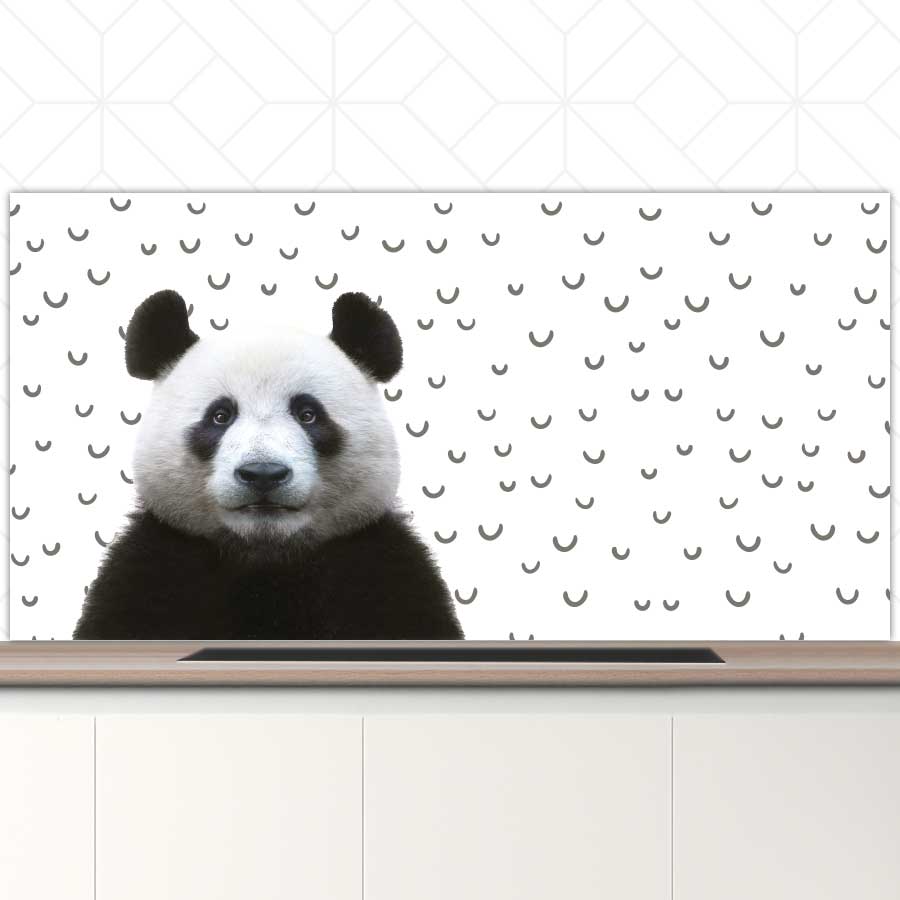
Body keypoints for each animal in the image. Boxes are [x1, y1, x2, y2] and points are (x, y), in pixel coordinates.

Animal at [74, 289, 464, 640]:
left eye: (308, 414)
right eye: (220, 415)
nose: (263, 474)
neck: (266, 558)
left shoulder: (380, 568)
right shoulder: (153, 568)